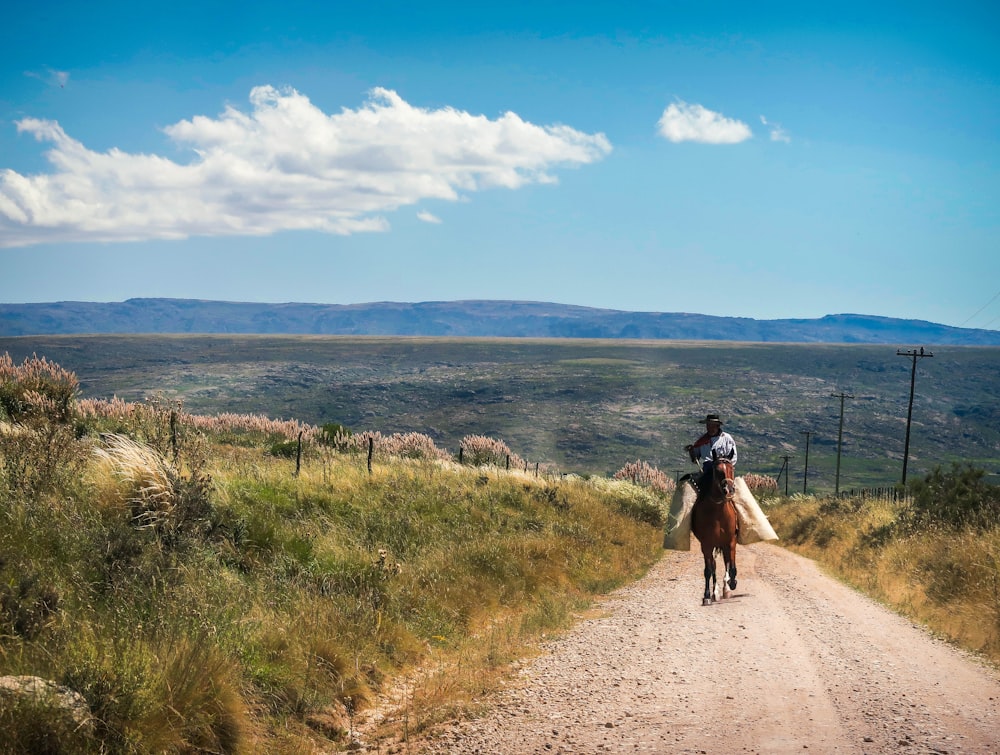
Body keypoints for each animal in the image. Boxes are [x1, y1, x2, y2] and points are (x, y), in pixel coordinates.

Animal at [692, 452, 740, 604]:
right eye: (717, 471)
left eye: (732, 469)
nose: (729, 489)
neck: (718, 512)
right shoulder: (706, 544)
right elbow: (708, 570)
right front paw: (707, 595)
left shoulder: (730, 541)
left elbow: (731, 566)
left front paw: (732, 583)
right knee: (713, 566)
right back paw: (715, 592)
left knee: (726, 562)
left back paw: (726, 588)